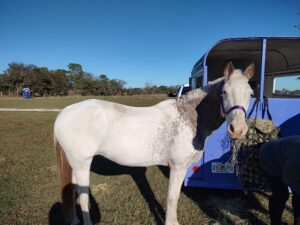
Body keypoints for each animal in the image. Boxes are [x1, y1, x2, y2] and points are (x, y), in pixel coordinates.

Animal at [54, 62, 253, 225]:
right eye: (224, 92)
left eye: (251, 93)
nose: (238, 129)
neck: (189, 117)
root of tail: (65, 112)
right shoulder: (177, 167)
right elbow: (173, 198)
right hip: (82, 164)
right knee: (83, 198)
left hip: (75, 164)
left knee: (71, 191)